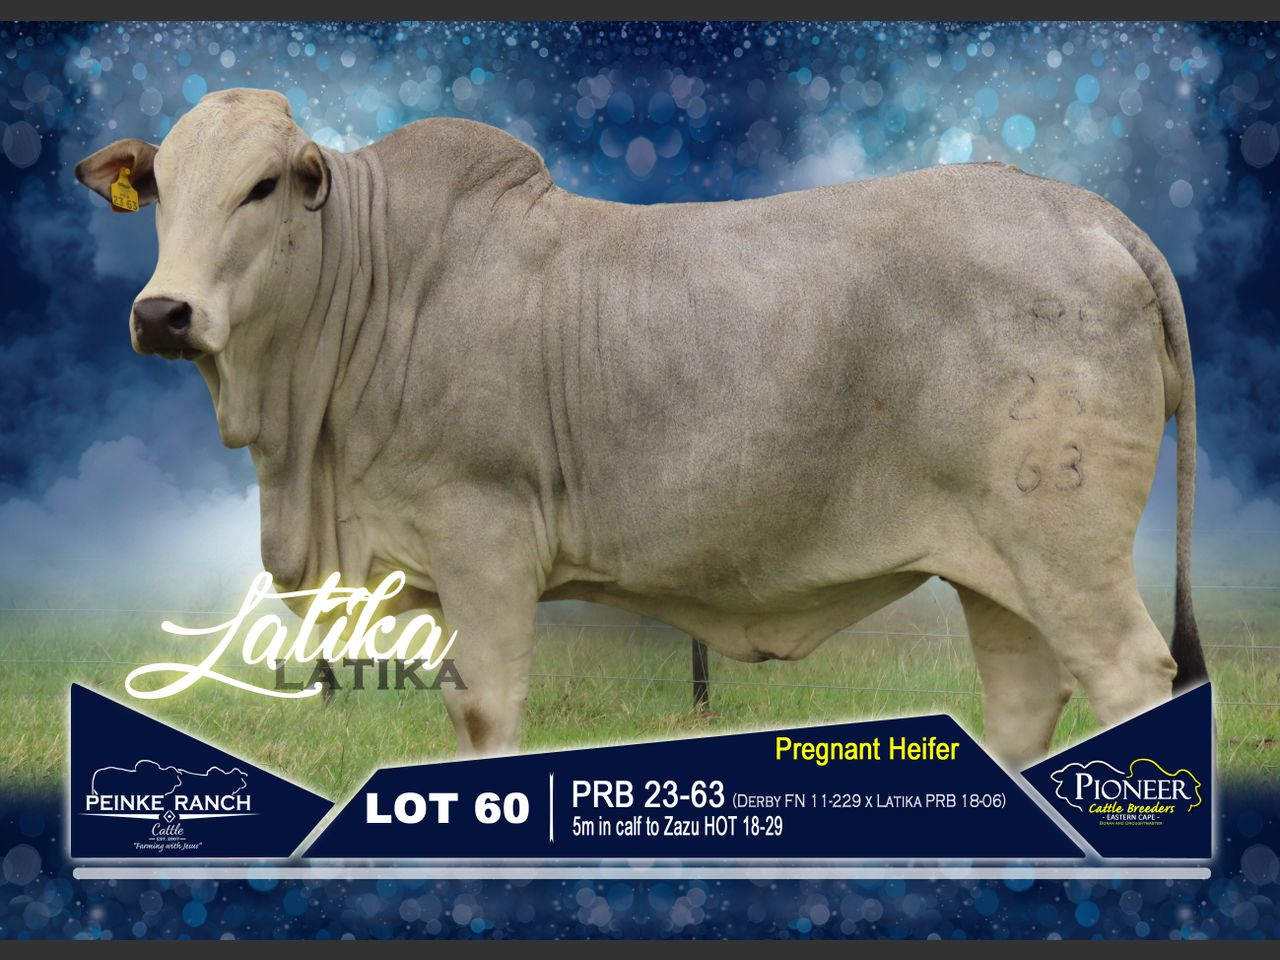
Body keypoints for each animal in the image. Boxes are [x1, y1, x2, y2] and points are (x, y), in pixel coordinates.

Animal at [76, 88, 1206, 768]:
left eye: (264, 186)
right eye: (160, 188)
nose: (163, 313)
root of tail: (1085, 212)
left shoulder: (483, 540)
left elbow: (485, 712)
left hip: (1067, 547)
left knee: (1128, 676)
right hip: (999, 570)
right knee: (1022, 698)